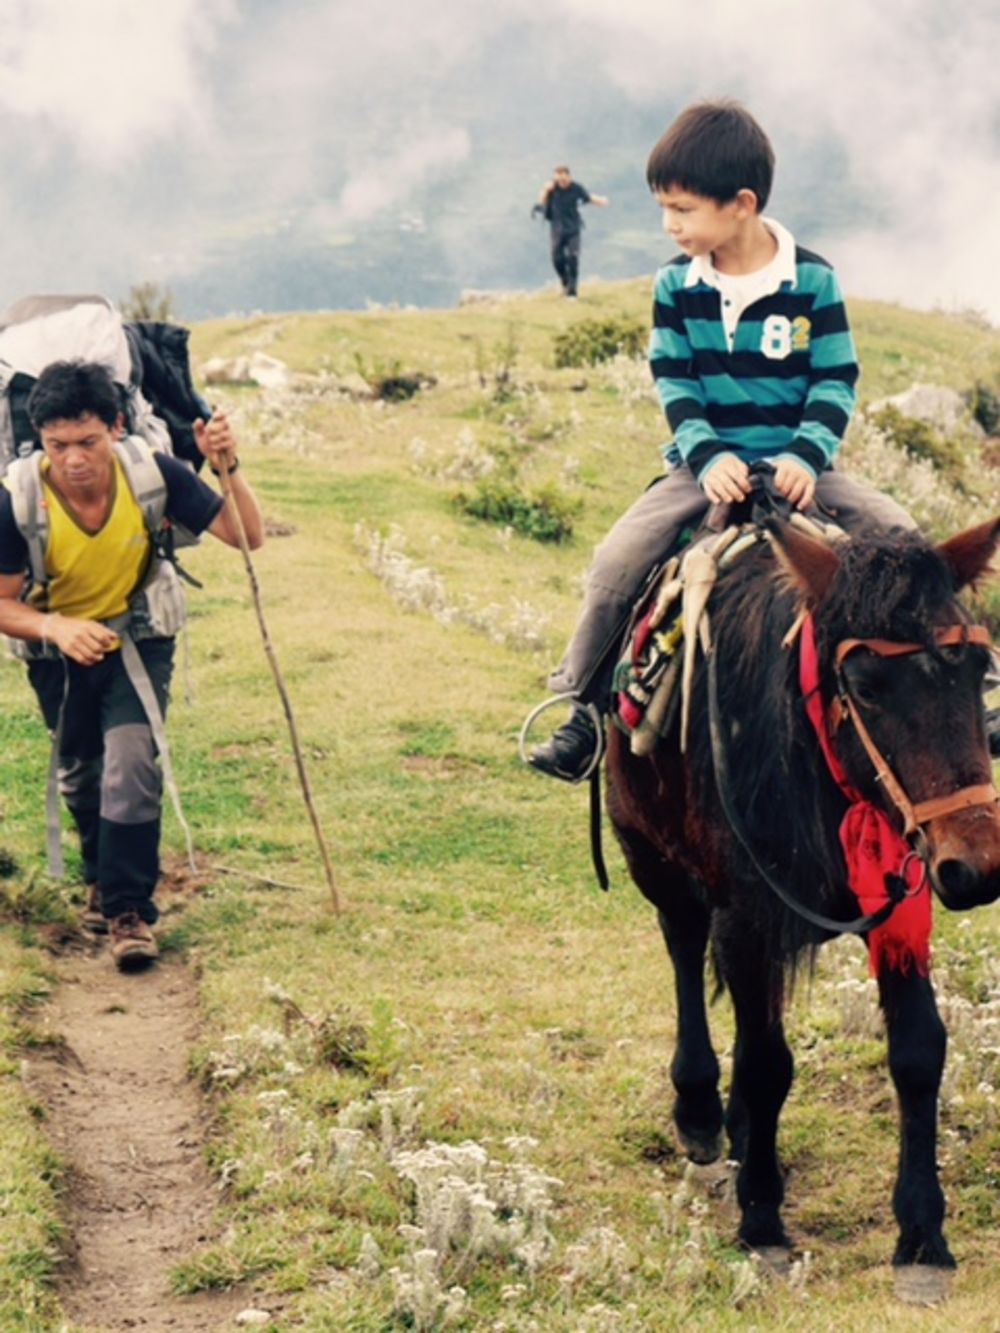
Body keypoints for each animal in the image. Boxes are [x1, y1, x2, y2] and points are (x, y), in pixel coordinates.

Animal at [602, 511, 1000, 1290]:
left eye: (978, 669)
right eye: (866, 684)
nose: (977, 864)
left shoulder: (899, 907)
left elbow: (918, 1050)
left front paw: (922, 1233)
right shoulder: (746, 919)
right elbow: (768, 1064)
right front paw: (762, 1216)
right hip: (652, 860)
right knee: (684, 949)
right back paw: (701, 1111)